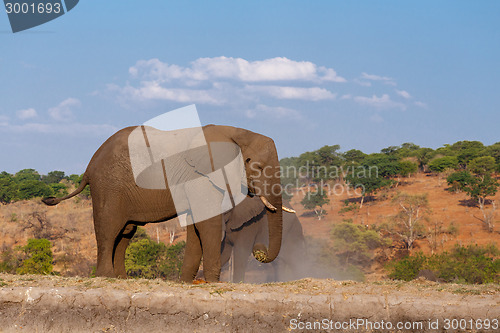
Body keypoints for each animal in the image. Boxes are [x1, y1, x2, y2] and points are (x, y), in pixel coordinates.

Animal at [42, 123, 286, 282]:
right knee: (109, 228)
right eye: (258, 167)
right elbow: (208, 224)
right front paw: (213, 282)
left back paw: (121, 278)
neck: (235, 132)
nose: (260, 250)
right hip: (108, 187)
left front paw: (185, 282)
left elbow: (195, 226)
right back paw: (107, 277)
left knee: (125, 232)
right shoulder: (200, 176)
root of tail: (89, 166)